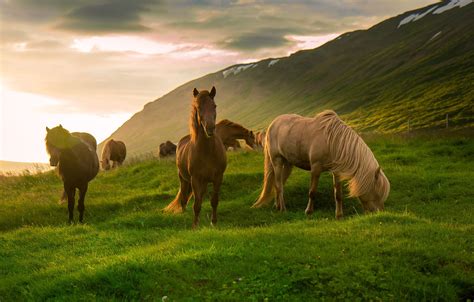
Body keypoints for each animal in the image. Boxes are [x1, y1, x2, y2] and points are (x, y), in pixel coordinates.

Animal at [164, 86, 227, 228]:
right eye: (198, 107)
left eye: (214, 106)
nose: (210, 128)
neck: (208, 152)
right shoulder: (195, 180)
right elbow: (196, 204)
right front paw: (195, 225)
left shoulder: (218, 177)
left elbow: (214, 200)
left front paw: (214, 222)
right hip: (184, 179)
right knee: (183, 197)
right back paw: (183, 212)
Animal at [254, 109, 390, 218]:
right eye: (377, 193)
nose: (379, 212)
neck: (333, 141)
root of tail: (273, 123)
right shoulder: (315, 168)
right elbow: (312, 192)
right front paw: (308, 211)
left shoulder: (337, 172)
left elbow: (338, 194)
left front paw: (339, 215)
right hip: (277, 161)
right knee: (278, 185)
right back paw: (283, 209)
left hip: (288, 164)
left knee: (279, 183)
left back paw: (277, 206)